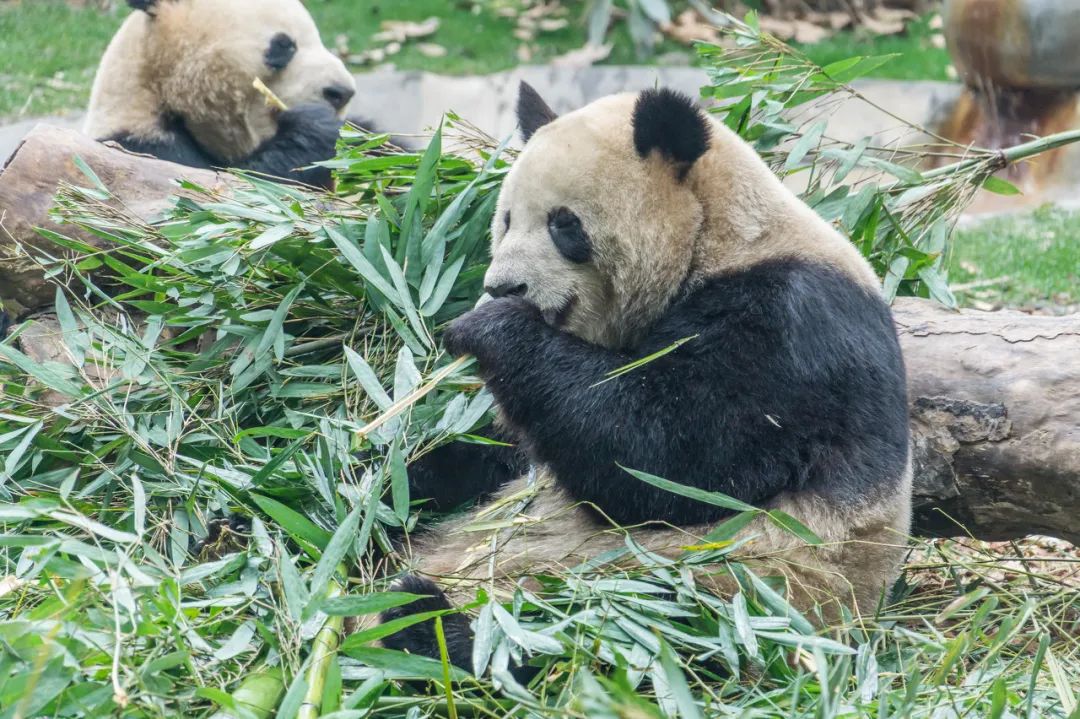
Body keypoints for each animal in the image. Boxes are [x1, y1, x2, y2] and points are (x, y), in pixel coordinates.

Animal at [382, 82, 911, 665]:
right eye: (505, 220)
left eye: (563, 224)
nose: (503, 287)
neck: (717, 237)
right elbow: (507, 450)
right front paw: (390, 471)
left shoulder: (790, 329)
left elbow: (665, 460)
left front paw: (488, 328)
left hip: (731, 596)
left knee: (599, 633)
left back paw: (425, 621)